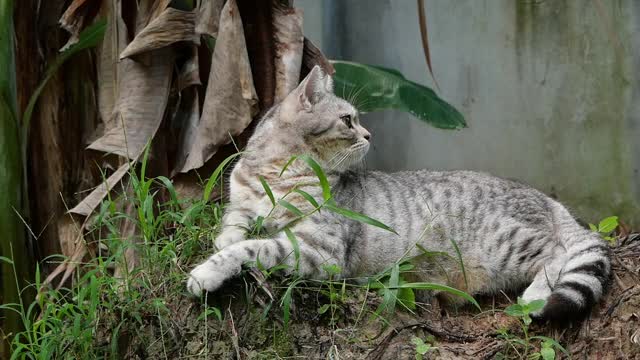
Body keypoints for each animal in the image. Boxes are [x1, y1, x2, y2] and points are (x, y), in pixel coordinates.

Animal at [185, 66, 608, 322]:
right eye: (348, 120)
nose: (369, 135)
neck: (273, 172)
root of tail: (546, 197)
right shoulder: (239, 207)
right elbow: (233, 230)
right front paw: (221, 245)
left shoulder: (319, 250)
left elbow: (253, 247)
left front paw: (206, 272)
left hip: (509, 243)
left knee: (559, 252)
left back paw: (535, 295)